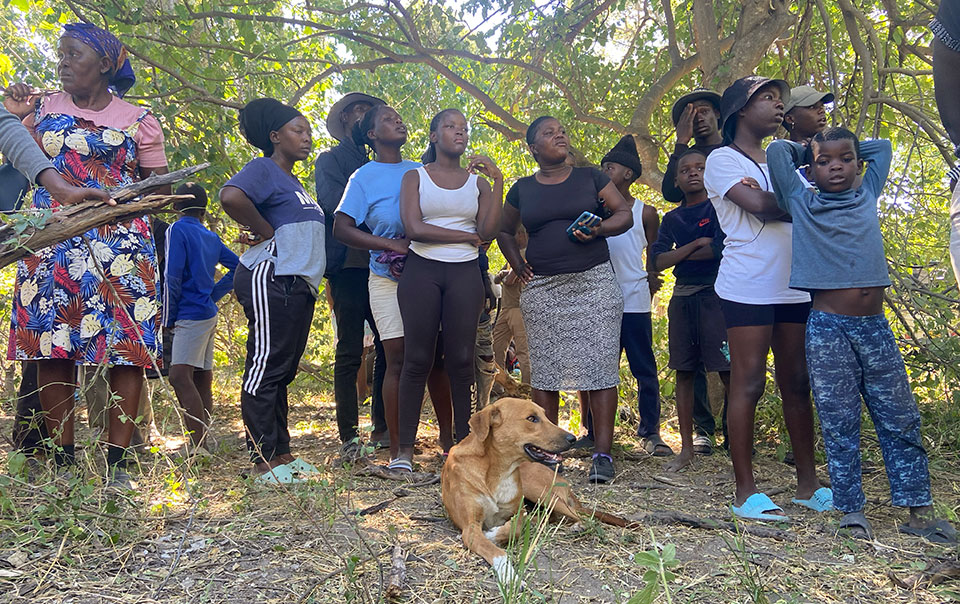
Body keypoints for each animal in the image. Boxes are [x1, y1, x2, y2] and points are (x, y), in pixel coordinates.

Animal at [442, 398, 636, 584]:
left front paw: (494, 534)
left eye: (544, 415)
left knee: (578, 517)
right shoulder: (470, 526)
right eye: (532, 418)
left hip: (541, 492)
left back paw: (577, 525)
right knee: (551, 517)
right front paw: (509, 576)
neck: (497, 471)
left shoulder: (517, 511)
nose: (572, 438)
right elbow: (498, 550)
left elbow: (516, 527)